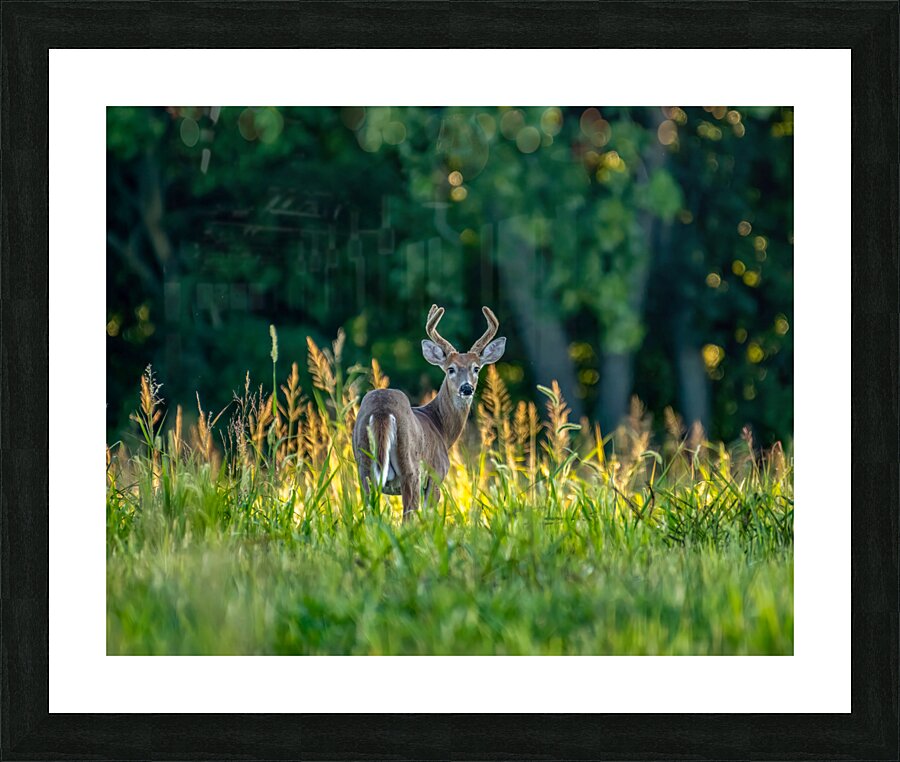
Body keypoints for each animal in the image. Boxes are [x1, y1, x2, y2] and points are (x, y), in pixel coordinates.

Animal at [352, 304, 506, 519]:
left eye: (476, 368)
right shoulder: (436, 475)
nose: (467, 388)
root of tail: (382, 411)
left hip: (364, 467)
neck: (441, 428)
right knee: (408, 516)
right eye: (451, 369)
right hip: (411, 468)